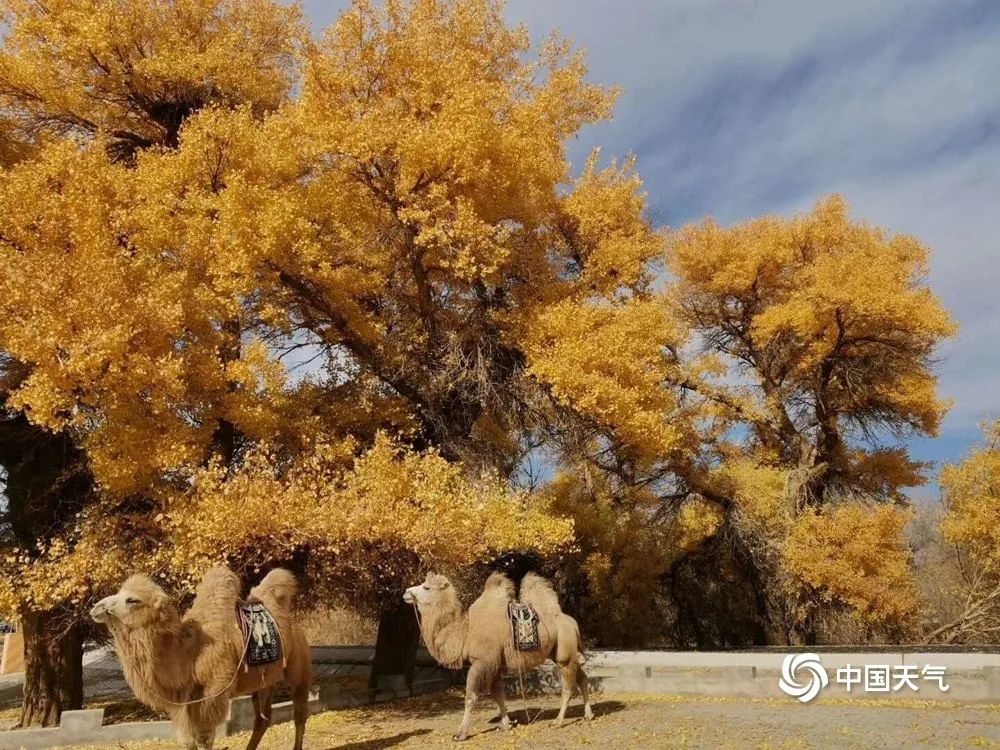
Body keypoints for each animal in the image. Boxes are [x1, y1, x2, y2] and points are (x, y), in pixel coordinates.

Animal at [94, 568, 314, 750]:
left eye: (132, 600)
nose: (97, 607)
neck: (190, 653)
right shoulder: (184, 701)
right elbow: (186, 741)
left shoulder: (212, 695)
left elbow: (204, 739)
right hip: (263, 682)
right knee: (263, 718)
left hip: (298, 667)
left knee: (300, 712)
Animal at [402, 572, 588, 744]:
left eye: (426, 587)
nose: (406, 592)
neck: (465, 632)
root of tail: (573, 623)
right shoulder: (495, 665)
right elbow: (498, 694)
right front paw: (505, 724)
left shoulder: (481, 662)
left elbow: (470, 697)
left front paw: (460, 734)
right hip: (561, 652)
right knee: (582, 677)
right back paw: (588, 715)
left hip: (564, 651)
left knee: (568, 686)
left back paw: (558, 721)